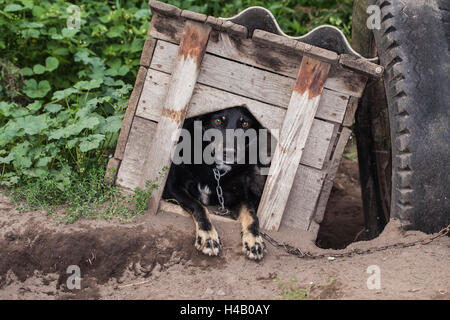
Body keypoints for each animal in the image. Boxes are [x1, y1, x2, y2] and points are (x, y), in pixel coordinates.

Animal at [163, 106, 266, 262]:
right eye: (218, 121)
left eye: (245, 124)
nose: (229, 153)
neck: (215, 169)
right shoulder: (172, 186)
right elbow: (198, 206)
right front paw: (208, 236)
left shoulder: (240, 196)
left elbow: (252, 215)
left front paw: (254, 240)